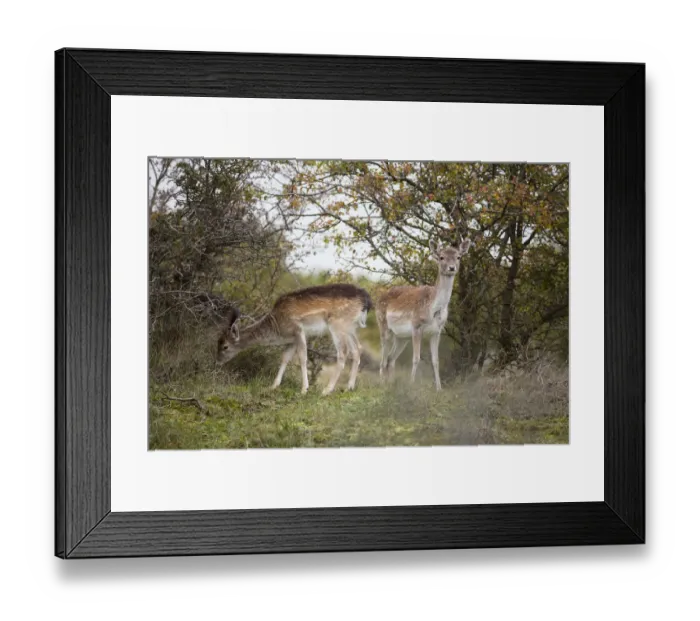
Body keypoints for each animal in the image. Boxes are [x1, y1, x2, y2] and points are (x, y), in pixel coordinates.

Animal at [216, 283, 373, 395]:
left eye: (225, 346)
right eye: (218, 341)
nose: (217, 362)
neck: (277, 328)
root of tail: (366, 300)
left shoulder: (298, 330)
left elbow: (303, 357)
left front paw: (304, 389)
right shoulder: (291, 339)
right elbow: (285, 357)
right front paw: (273, 386)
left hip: (337, 324)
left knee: (343, 352)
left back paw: (327, 390)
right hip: (350, 327)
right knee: (357, 349)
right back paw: (349, 387)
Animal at [376, 236, 473, 390]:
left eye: (458, 257)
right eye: (441, 257)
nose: (452, 268)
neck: (433, 309)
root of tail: (378, 298)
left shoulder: (437, 331)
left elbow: (435, 360)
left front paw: (439, 388)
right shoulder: (416, 326)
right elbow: (416, 358)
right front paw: (411, 385)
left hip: (402, 337)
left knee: (391, 358)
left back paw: (391, 384)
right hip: (383, 326)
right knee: (383, 358)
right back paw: (382, 384)